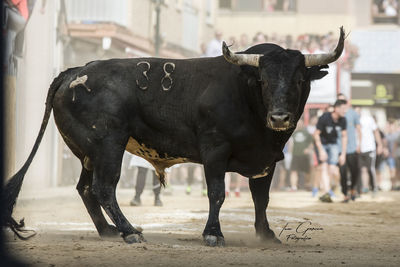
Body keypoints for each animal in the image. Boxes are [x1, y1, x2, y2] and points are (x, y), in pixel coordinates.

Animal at [3, 27, 346, 247]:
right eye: (262, 79)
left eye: (300, 79)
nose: (279, 117)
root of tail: (73, 71)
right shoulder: (215, 150)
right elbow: (217, 193)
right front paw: (213, 233)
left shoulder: (267, 159)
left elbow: (261, 198)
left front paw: (266, 235)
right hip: (108, 145)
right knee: (103, 187)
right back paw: (129, 231)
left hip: (90, 152)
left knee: (86, 188)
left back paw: (108, 231)